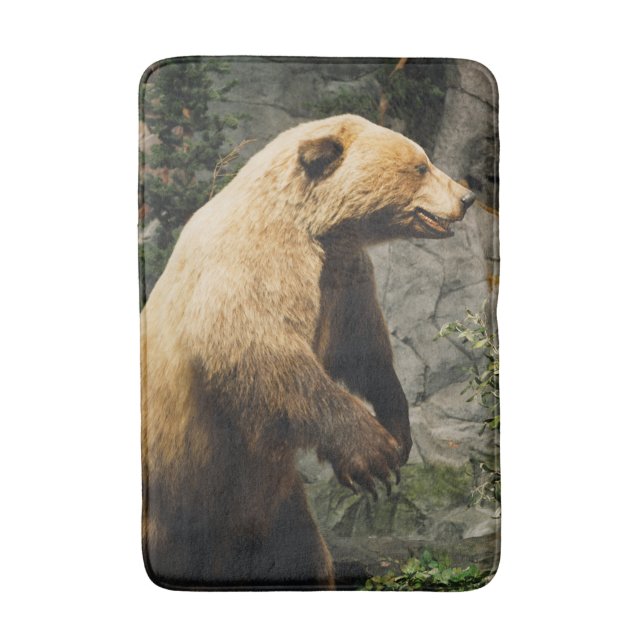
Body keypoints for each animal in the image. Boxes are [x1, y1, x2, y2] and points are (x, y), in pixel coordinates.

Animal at [141, 114, 475, 590]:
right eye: (420, 166)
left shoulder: (343, 273)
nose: (467, 197)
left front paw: (397, 425)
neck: (316, 226)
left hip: (272, 507)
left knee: (300, 555)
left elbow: (362, 347)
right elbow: (259, 348)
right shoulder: (257, 262)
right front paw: (373, 454)